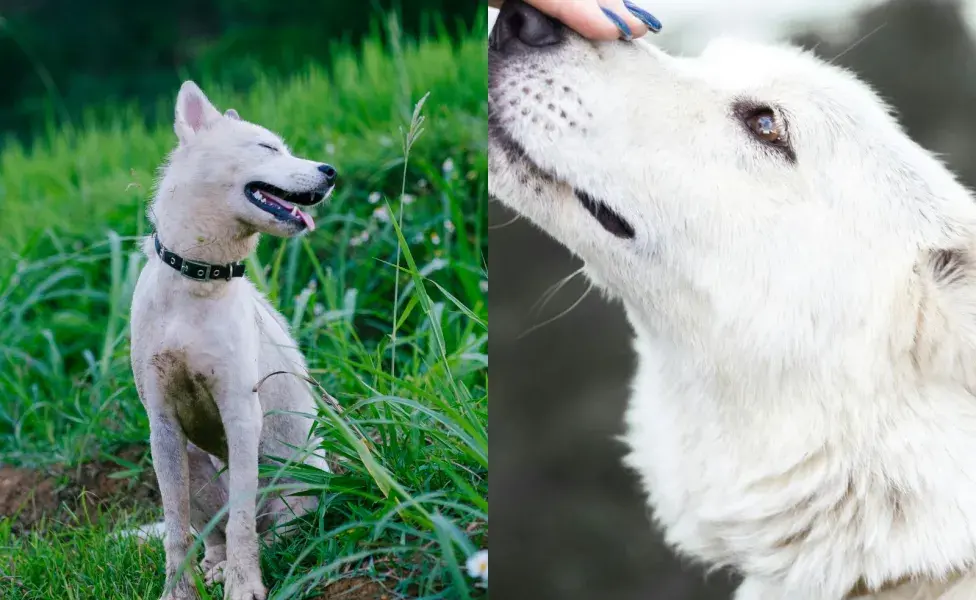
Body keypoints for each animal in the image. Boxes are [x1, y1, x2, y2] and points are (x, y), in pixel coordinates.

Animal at [131, 81, 336, 600]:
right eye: (267, 148)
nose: (331, 172)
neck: (197, 281)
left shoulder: (242, 413)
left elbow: (244, 524)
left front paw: (246, 586)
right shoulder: (162, 424)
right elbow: (175, 529)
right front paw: (178, 592)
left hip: (299, 487)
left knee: (272, 531)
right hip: (193, 464)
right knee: (213, 536)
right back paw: (214, 567)